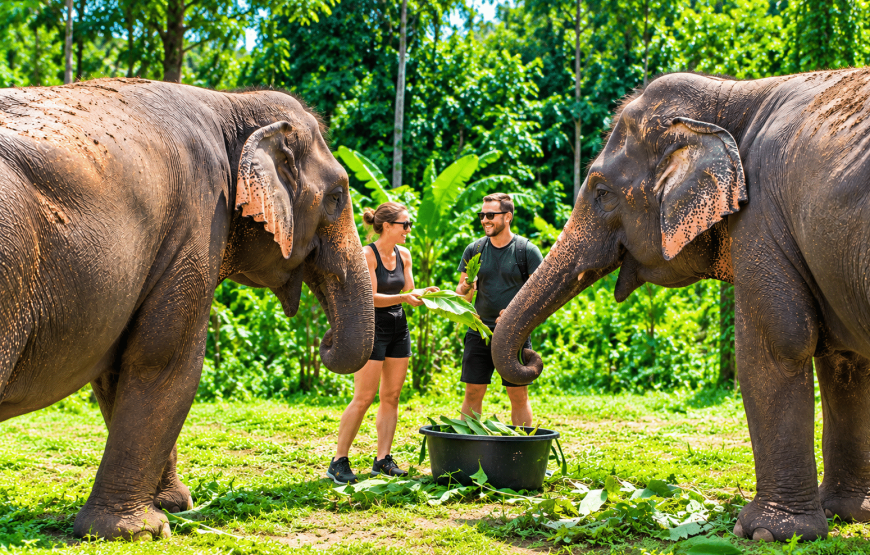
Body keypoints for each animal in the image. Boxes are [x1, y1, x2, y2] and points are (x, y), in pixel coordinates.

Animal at [0, 78, 374, 540]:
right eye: (337, 197)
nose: (326, 340)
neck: (230, 103)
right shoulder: (197, 219)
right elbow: (166, 360)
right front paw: (139, 531)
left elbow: (118, 370)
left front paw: (172, 506)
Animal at [492, 69, 870, 542]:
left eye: (602, 192)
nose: (530, 357)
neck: (738, 93)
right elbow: (846, 364)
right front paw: (846, 513)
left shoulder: (763, 219)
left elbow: (777, 347)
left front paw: (767, 533)